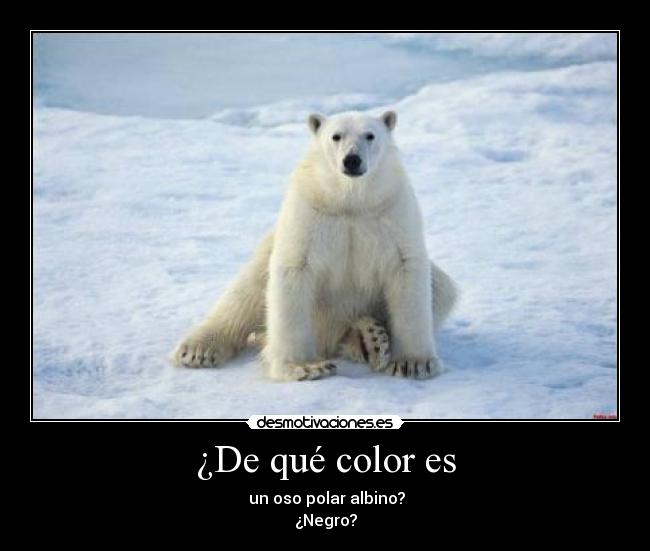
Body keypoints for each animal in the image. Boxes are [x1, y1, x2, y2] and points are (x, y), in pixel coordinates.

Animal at [172, 110, 457, 381]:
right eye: (336, 136)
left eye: (370, 135)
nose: (352, 160)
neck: (350, 201)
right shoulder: (310, 212)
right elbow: (293, 271)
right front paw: (305, 367)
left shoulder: (391, 210)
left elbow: (406, 270)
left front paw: (414, 364)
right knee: (245, 293)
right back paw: (197, 350)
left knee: (442, 287)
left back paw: (369, 339)